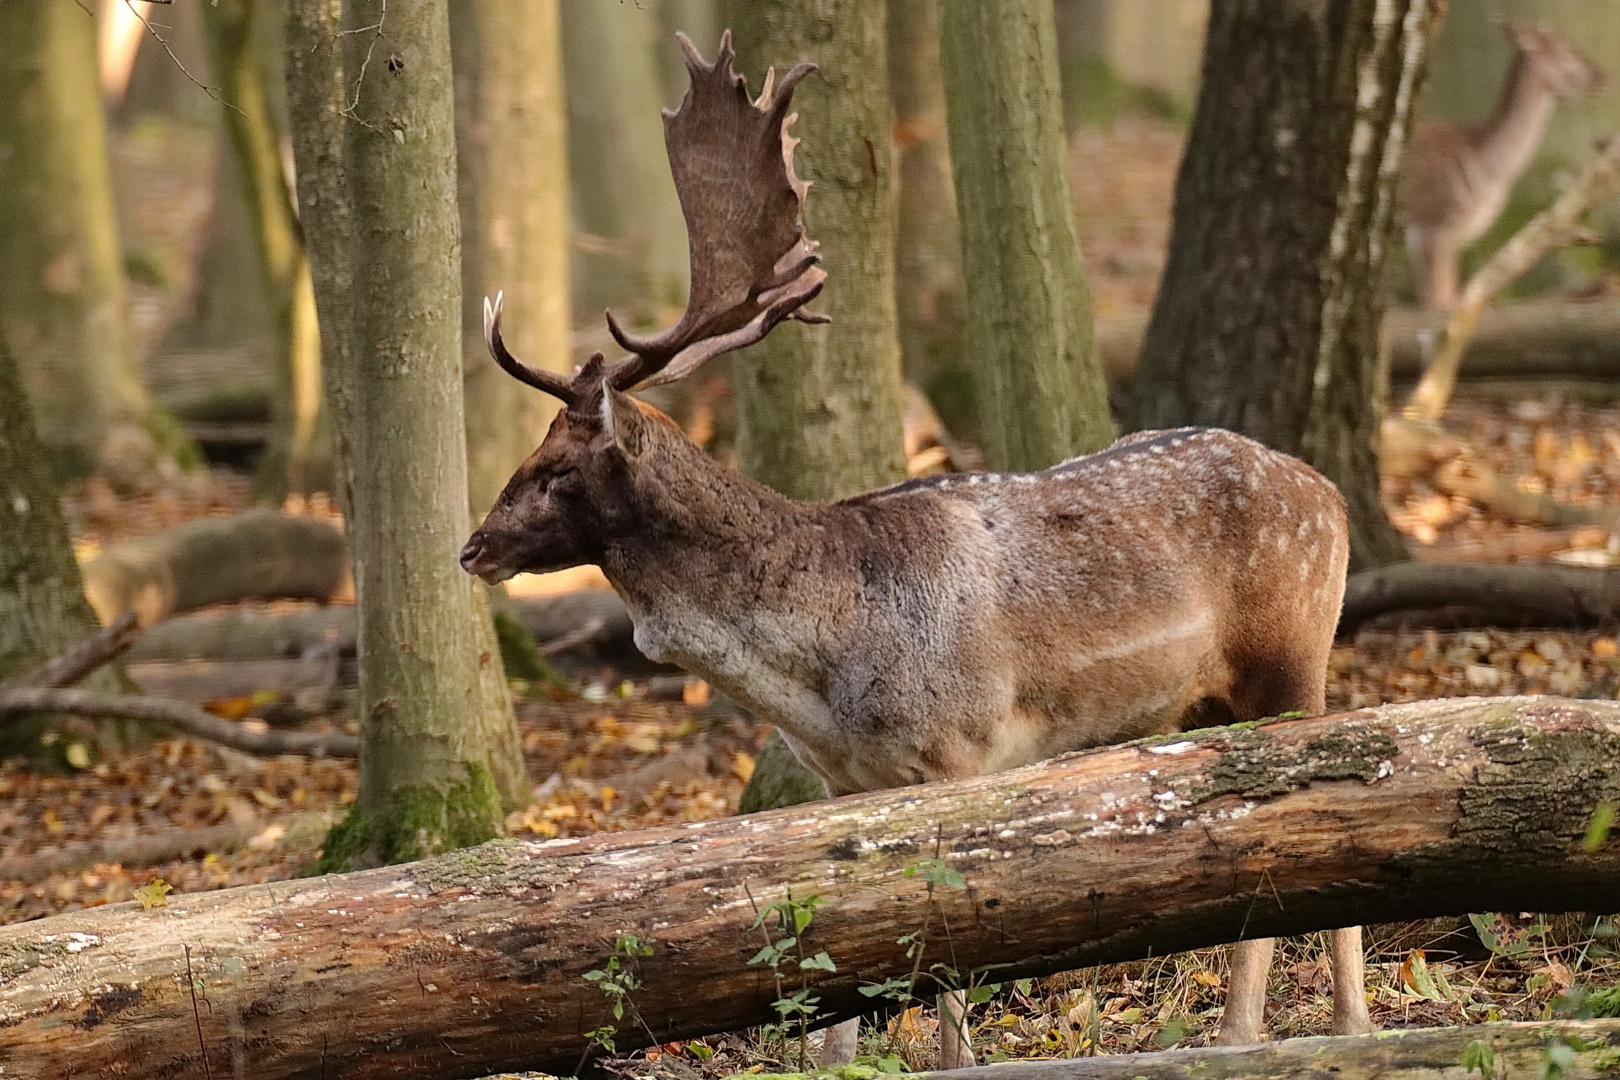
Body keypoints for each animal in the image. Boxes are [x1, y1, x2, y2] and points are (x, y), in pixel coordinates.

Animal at [456, 29, 1367, 1068]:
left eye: (558, 466)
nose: (473, 547)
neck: (820, 677)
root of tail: (1332, 495)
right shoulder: (839, 786)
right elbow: (836, 987)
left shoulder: (963, 751)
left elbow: (951, 979)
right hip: (1213, 699)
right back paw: (1274, 1035)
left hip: (1292, 658)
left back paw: (1325, 1030)